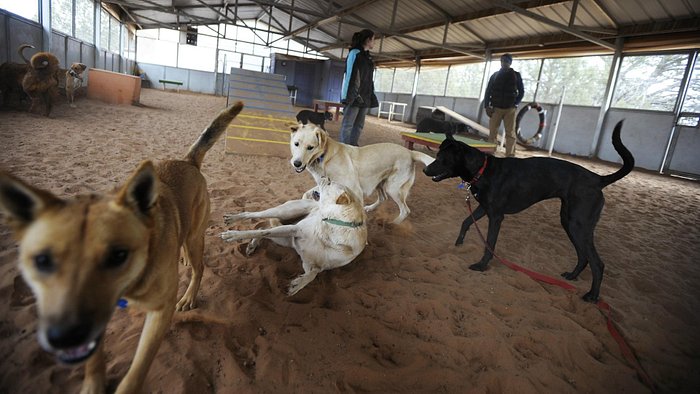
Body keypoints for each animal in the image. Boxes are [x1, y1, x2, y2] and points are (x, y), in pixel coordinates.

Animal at [0, 102, 243, 394]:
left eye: (118, 256)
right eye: (42, 260)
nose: (64, 337)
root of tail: (187, 161)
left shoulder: (160, 312)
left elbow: (138, 367)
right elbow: (94, 360)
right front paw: (93, 385)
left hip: (196, 238)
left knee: (199, 267)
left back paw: (189, 296)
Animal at [288, 123, 432, 223]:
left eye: (310, 147)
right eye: (296, 144)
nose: (297, 163)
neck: (325, 156)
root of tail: (410, 152)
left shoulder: (355, 189)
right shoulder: (324, 184)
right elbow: (305, 194)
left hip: (393, 188)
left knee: (405, 211)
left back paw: (393, 224)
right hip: (381, 184)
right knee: (383, 198)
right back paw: (370, 208)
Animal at [422, 120, 636, 302]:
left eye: (441, 159)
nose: (425, 170)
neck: (483, 169)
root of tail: (597, 179)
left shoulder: (496, 217)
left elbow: (489, 244)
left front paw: (482, 266)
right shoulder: (484, 208)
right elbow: (465, 221)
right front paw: (459, 242)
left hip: (578, 225)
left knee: (597, 263)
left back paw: (592, 296)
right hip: (569, 223)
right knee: (584, 256)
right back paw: (572, 276)